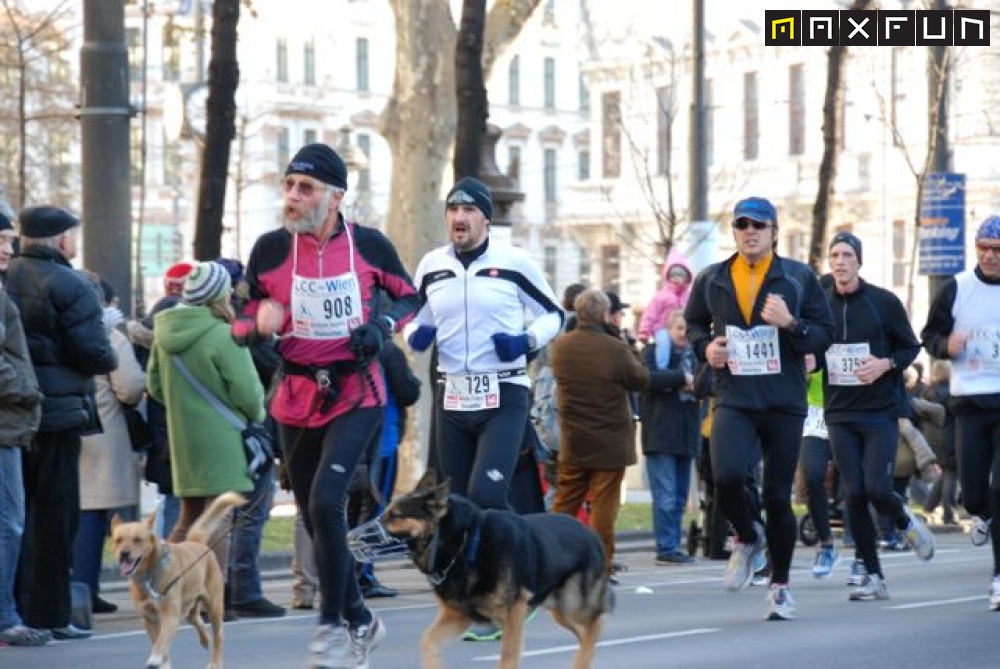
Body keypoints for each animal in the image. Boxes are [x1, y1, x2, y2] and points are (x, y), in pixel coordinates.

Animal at [110, 490, 245, 668]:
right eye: (118, 540)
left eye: (137, 539)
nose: (124, 554)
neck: (148, 575)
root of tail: (196, 542)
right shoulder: (148, 619)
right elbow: (158, 643)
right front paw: (163, 663)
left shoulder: (170, 617)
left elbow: (160, 643)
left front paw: (155, 660)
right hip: (188, 607)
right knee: (197, 619)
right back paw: (205, 639)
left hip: (214, 606)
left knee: (219, 638)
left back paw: (215, 662)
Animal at [378, 470, 608, 668]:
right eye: (387, 512)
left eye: (395, 515)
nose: (374, 522)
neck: (465, 543)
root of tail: (592, 535)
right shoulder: (458, 615)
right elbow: (427, 641)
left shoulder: (513, 613)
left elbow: (508, 656)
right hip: (561, 612)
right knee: (585, 633)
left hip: (573, 604)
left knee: (595, 626)